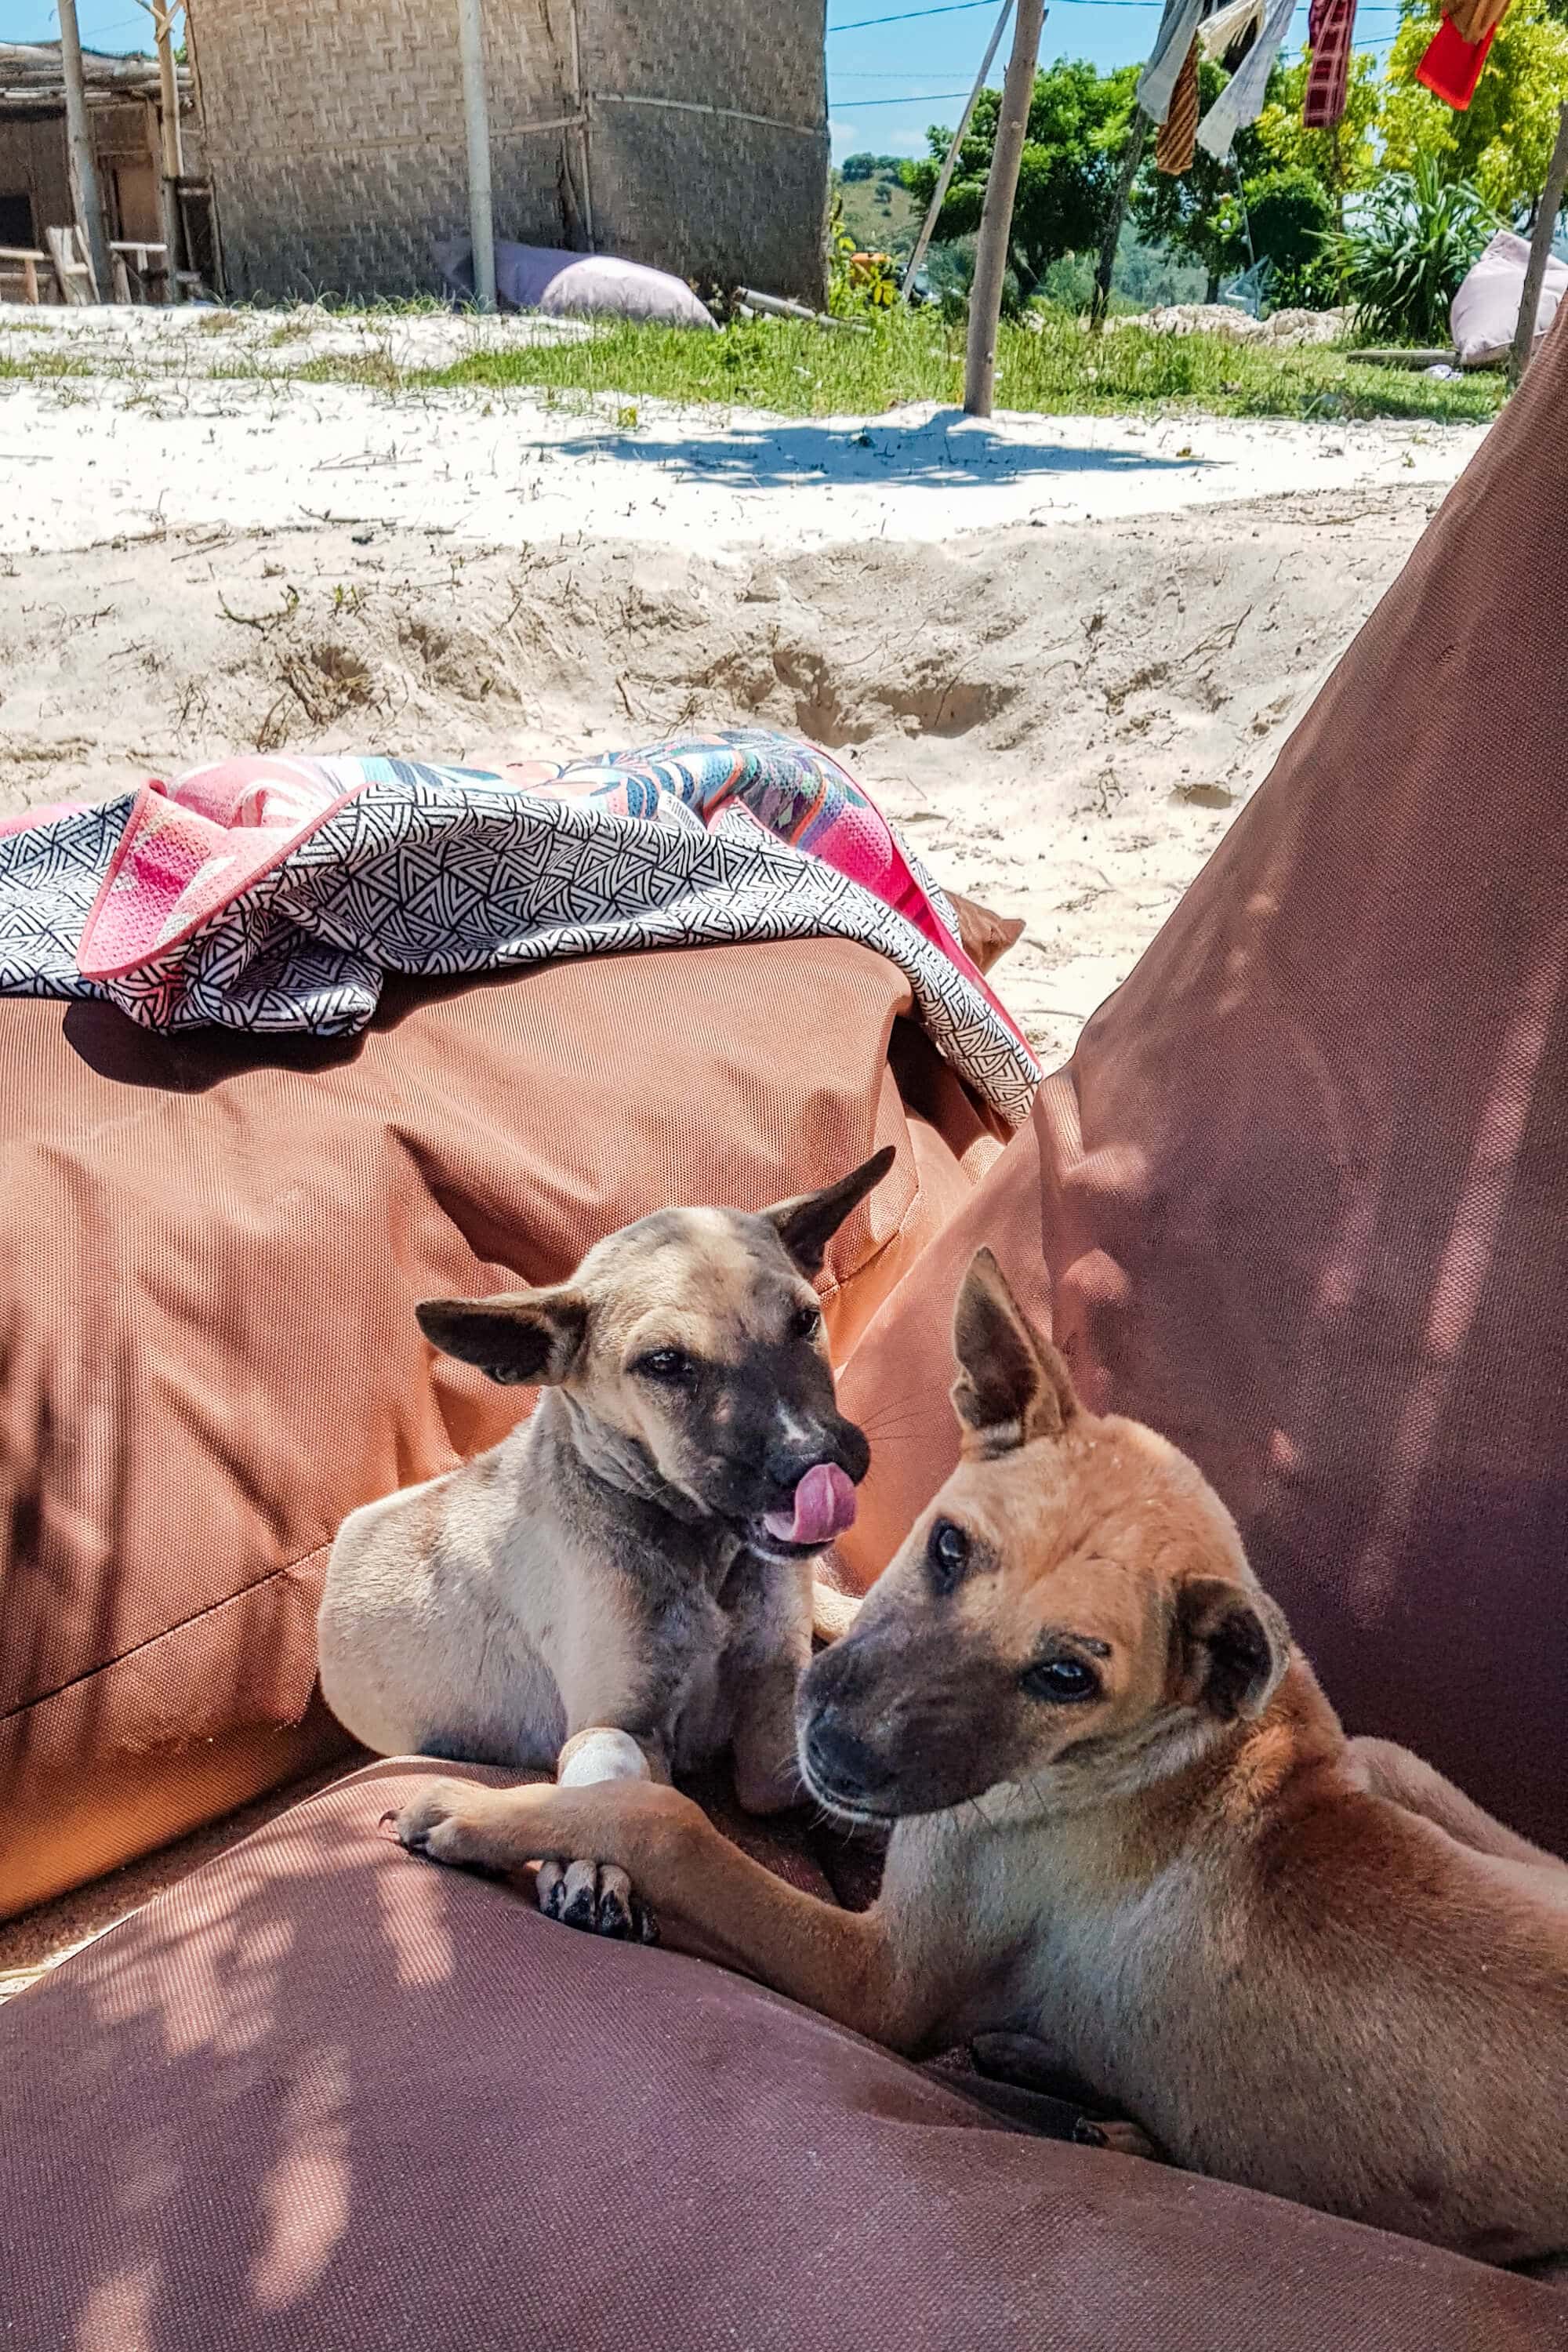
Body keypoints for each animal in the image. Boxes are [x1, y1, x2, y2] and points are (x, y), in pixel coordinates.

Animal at [324, 1148, 888, 1938]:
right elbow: (614, 1769)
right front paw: (589, 1861)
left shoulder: (774, 1710)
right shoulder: (615, 1716)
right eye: (664, 1363)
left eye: (806, 1319)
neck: (701, 1551)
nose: (814, 1463)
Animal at [392, 1251, 1568, 2258]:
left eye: (1067, 1677)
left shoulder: (880, 1981)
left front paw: (480, 1815)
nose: (835, 1749)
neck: (1161, 1755)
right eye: (949, 1546)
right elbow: (826, 1610)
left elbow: (670, 1822)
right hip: (1394, 1761)